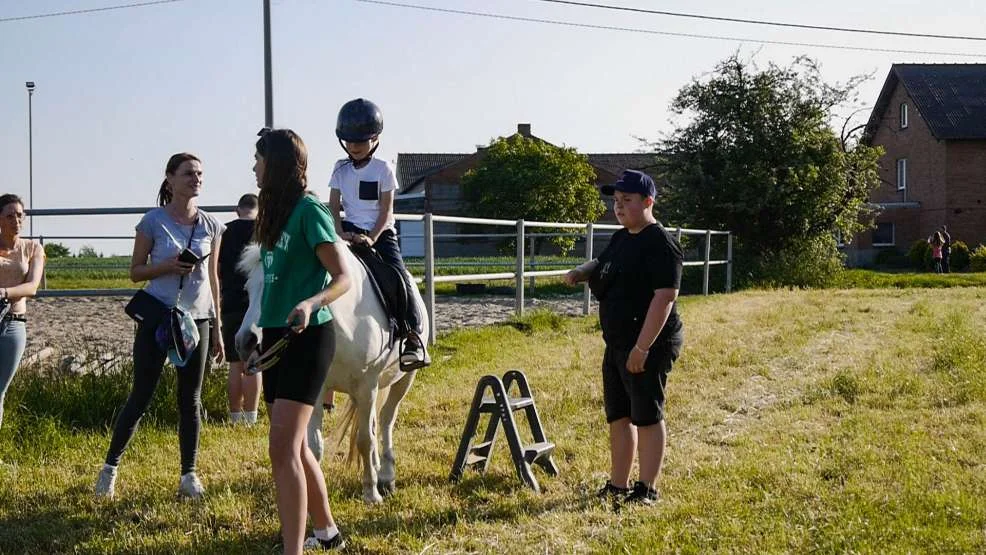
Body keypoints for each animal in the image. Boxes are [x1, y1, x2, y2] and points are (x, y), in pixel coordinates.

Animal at [236, 243, 428, 504]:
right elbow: (316, 446)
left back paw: (386, 476)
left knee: (386, 420)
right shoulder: (317, 391)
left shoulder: (367, 386)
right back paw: (377, 467)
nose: (245, 342)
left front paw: (371, 492)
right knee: (374, 423)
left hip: (403, 380)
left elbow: (365, 440)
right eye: (248, 289)